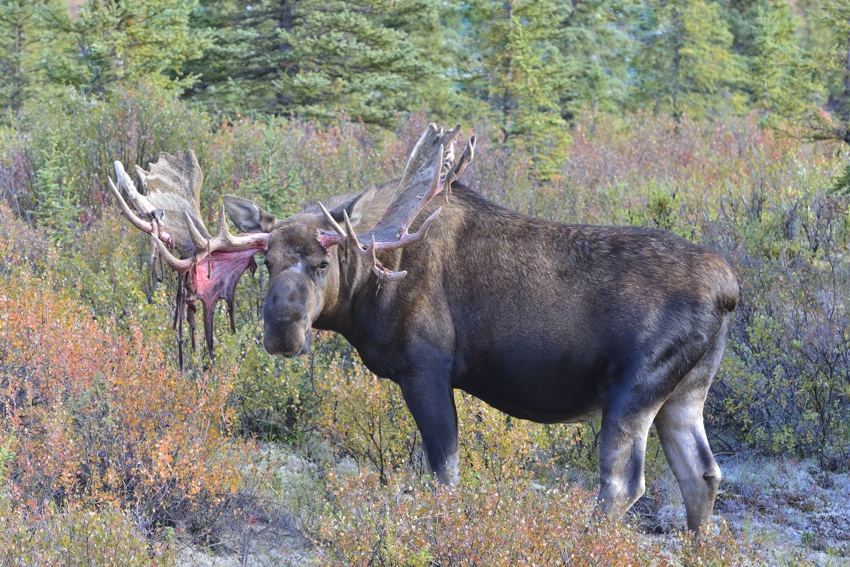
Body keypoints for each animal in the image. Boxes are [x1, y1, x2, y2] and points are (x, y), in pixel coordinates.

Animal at [109, 123, 736, 532]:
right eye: (265, 262)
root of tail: (730, 290)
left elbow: (445, 472)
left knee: (622, 485)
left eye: (322, 263)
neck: (368, 289)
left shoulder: (426, 369)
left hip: (633, 391)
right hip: (684, 393)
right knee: (703, 477)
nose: (283, 328)